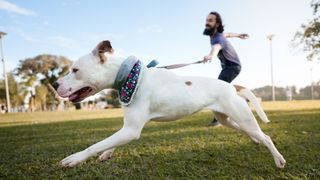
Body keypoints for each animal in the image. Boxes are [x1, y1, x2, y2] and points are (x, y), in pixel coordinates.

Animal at [53, 40, 286, 169]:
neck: (130, 76)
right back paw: (254, 141)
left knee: (266, 136)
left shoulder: (131, 130)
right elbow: (109, 142)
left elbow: (96, 144)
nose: (54, 84)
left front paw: (74, 159)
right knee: (247, 131)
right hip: (227, 118)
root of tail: (232, 86)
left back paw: (278, 159)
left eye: (75, 70)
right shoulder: (127, 129)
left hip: (242, 117)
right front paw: (106, 154)